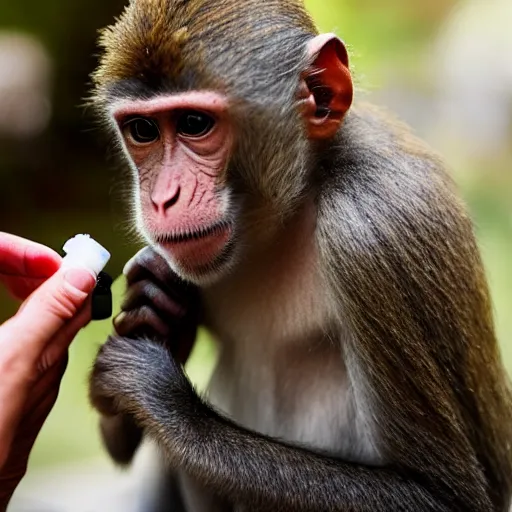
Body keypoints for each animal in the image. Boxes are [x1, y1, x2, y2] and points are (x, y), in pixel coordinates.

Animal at [88, 1, 512, 512]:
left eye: (193, 124)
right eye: (143, 130)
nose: (162, 199)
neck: (297, 202)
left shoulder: (369, 230)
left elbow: (443, 497)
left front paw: (159, 397)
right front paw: (154, 301)